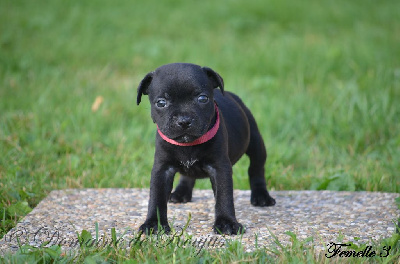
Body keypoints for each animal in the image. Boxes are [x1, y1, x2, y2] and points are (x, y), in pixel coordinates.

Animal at [137, 62, 276, 235]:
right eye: (161, 103)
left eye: (202, 99)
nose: (184, 120)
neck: (188, 145)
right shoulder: (162, 169)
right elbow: (156, 196)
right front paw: (154, 224)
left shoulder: (220, 167)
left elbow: (224, 195)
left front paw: (227, 223)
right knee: (187, 176)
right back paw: (181, 192)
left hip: (255, 142)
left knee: (256, 168)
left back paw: (261, 196)